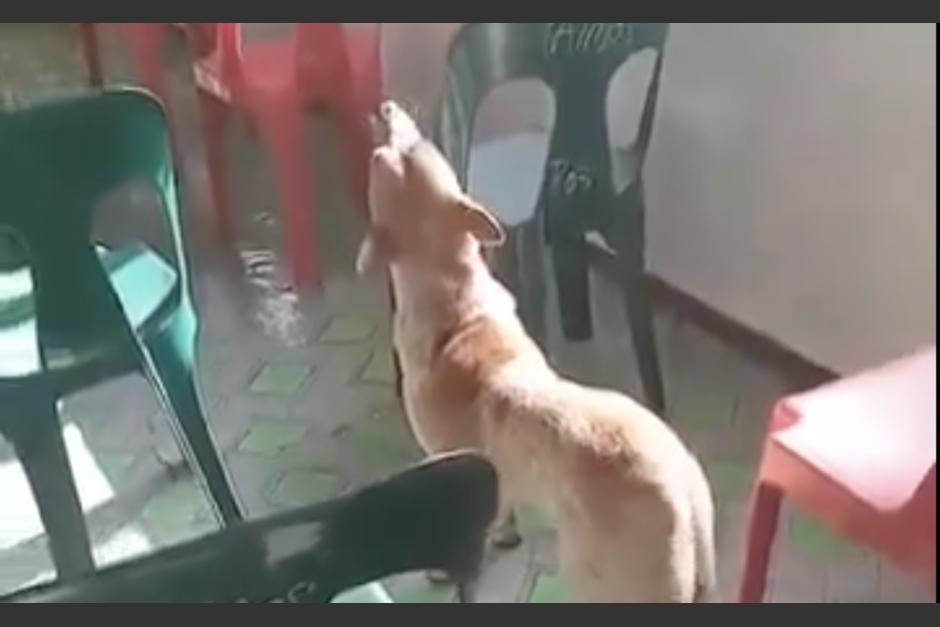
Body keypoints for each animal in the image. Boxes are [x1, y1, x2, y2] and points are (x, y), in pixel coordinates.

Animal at [356, 100, 716, 600]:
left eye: (392, 157)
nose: (386, 106)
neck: (454, 302)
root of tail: (682, 482)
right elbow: (502, 513)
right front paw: (506, 534)